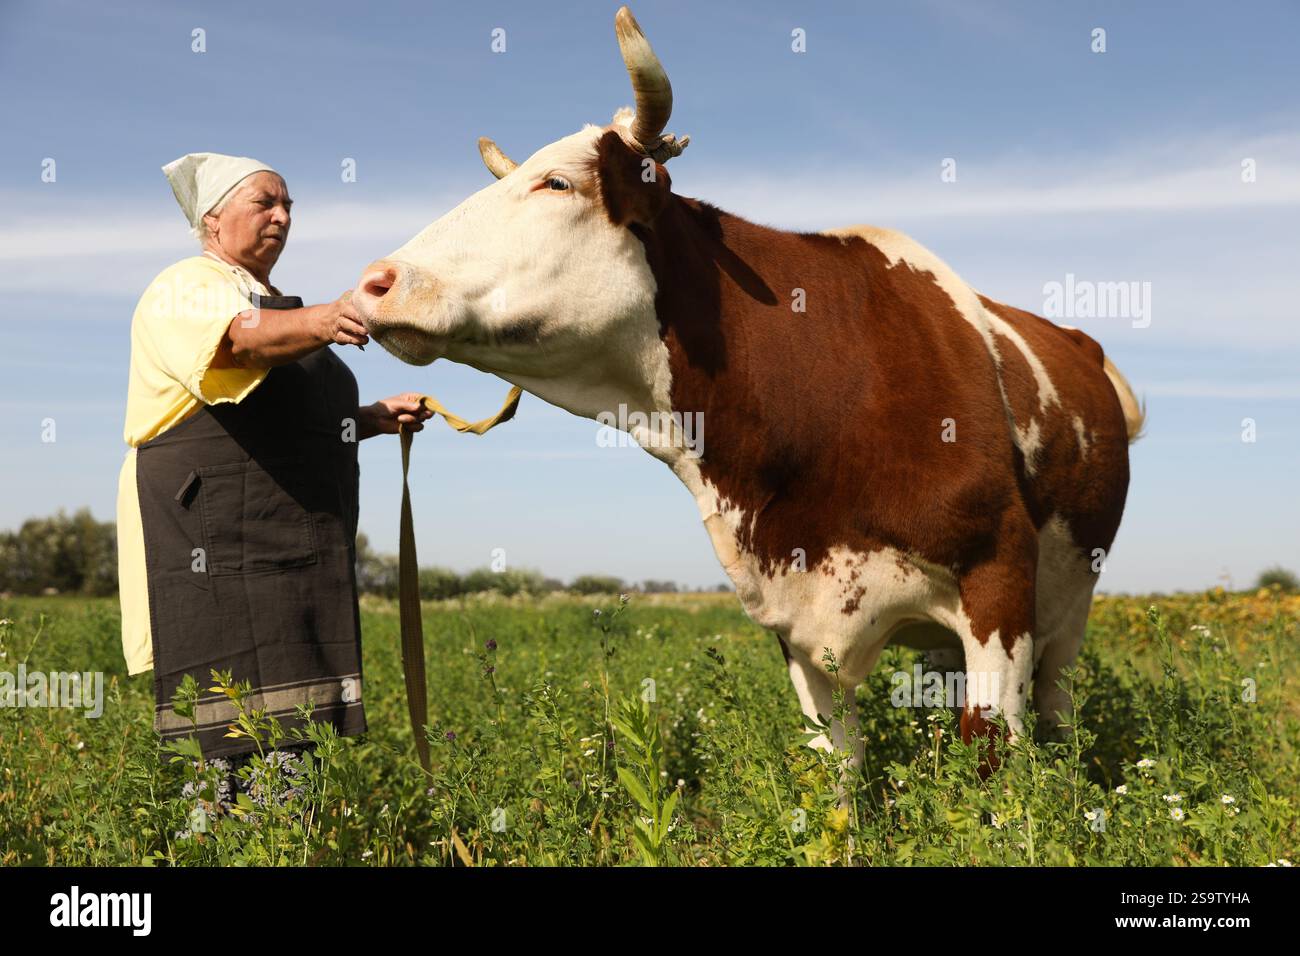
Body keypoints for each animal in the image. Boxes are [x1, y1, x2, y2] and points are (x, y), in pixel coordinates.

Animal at [350, 6, 1144, 781]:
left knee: (1057, 713)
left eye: (557, 184)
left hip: (1068, 607)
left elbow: (992, 758)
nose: (375, 282)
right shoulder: (796, 619)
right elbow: (836, 775)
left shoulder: (998, 581)